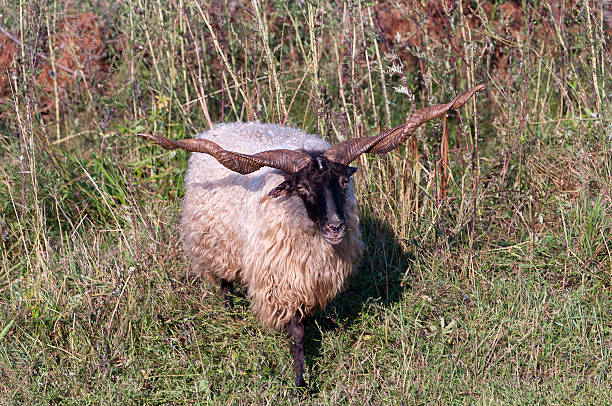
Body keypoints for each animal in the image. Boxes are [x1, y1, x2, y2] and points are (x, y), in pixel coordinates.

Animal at [140, 84, 482, 388]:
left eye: (343, 182)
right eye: (303, 188)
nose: (336, 227)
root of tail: (228, 125)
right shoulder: (283, 280)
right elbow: (296, 333)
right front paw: (301, 380)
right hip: (215, 244)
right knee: (223, 280)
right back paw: (229, 308)